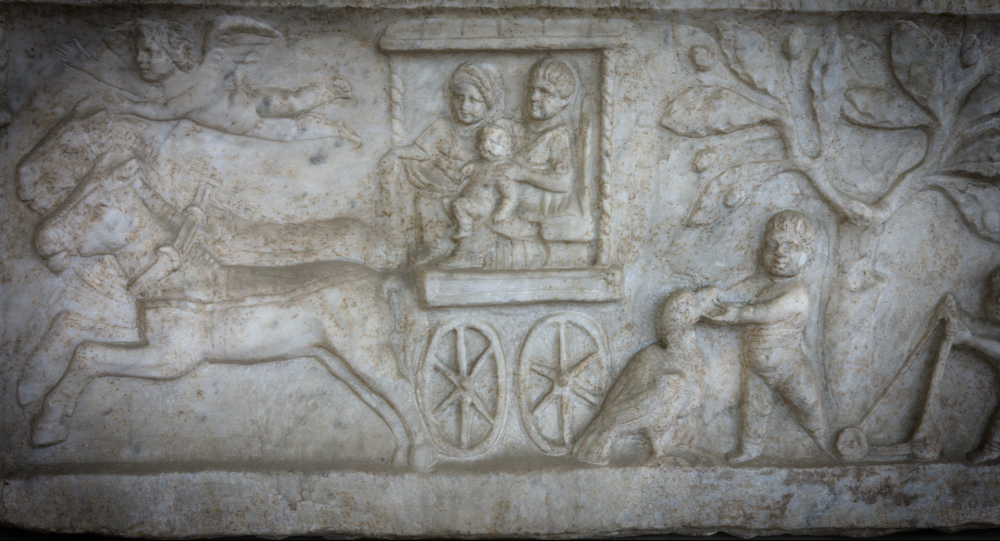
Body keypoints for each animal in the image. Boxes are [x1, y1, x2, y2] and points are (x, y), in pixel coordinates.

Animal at [28, 155, 418, 464]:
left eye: (96, 207)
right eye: (73, 193)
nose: (42, 239)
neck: (177, 274)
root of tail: (380, 279)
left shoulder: (172, 357)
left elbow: (89, 354)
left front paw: (48, 422)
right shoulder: (145, 339)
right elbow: (77, 332)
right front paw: (43, 400)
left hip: (365, 354)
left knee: (404, 389)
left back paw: (421, 461)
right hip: (339, 361)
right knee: (386, 402)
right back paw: (400, 459)